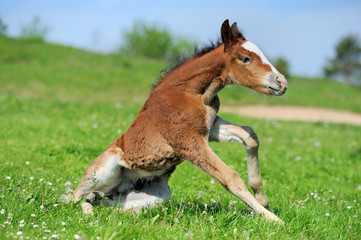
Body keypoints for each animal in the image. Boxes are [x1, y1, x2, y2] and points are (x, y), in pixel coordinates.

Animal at [68, 19, 286, 222]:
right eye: (245, 58)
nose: (282, 82)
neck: (190, 92)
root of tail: (117, 189)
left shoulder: (209, 127)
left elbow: (249, 135)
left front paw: (262, 199)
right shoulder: (186, 141)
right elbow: (229, 176)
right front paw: (273, 219)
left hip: (157, 195)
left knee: (104, 202)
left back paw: (126, 211)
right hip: (103, 169)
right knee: (74, 197)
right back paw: (86, 214)